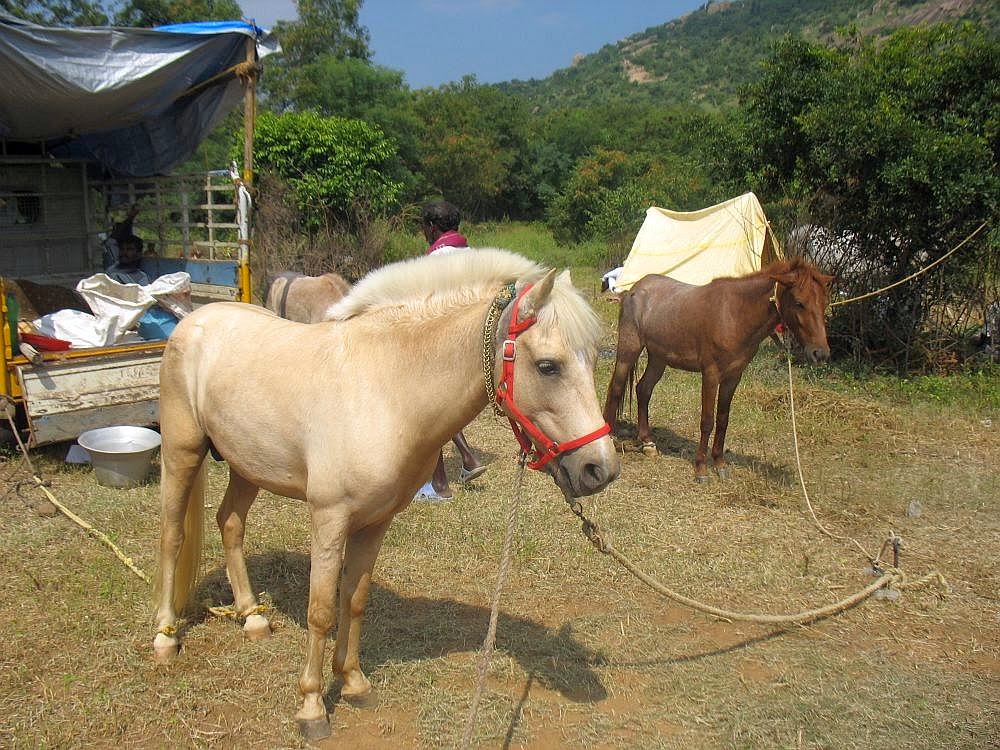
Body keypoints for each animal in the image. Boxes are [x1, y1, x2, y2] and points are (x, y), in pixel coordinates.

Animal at [152, 247, 620, 740]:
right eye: (549, 366)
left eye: (592, 359)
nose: (599, 469)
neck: (384, 388)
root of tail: (197, 318)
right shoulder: (329, 518)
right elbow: (322, 609)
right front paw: (312, 708)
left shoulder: (376, 521)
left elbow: (355, 600)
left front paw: (354, 683)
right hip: (182, 453)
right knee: (172, 536)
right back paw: (165, 637)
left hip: (247, 467)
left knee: (230, 524)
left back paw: (252, 617)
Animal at [603, 257, 833, 482]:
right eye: (799, 303)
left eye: (824, 303)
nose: (820, 353)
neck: (735, 314)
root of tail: (634, 289)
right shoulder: (711, 375)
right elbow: (707, 421)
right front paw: (701, 469)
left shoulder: (733, 377)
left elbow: (723, 420)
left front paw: (720, 464)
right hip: (629, 350)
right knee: (616, 388)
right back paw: (610, 438)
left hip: (659, 358)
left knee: (643, 389)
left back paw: (648, 442)